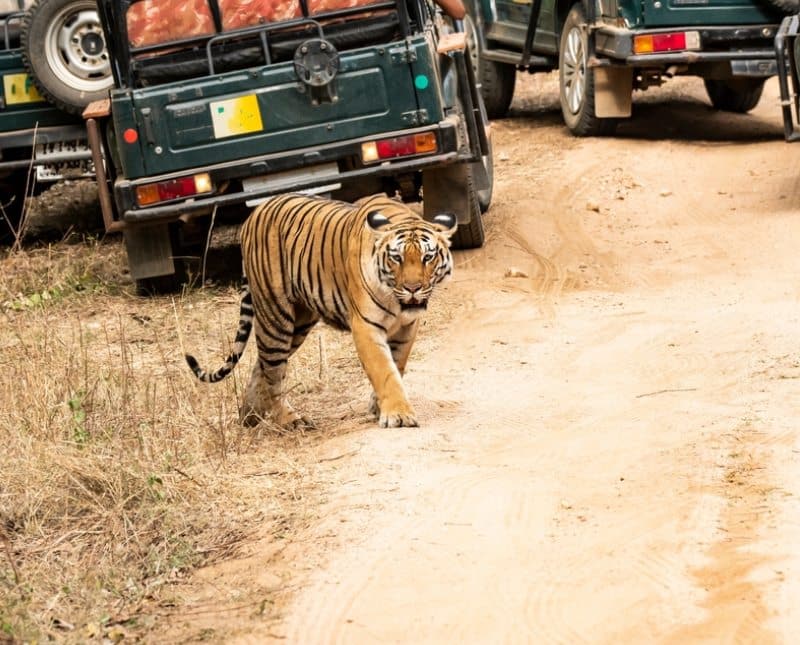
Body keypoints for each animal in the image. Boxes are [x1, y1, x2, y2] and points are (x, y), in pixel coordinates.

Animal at [183, 191, 456, 428]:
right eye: (396, 258)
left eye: (427, 257)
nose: (413, 288)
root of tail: (253, 214)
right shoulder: (365, 326)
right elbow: (384, 370)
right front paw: (398, 415)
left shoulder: (407, 327)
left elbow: (397, 364)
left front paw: (379, 406)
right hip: (276, 317)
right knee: (273, 371)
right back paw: (288, 420)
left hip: (300, 322)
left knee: (261, 365)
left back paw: (249, 416)